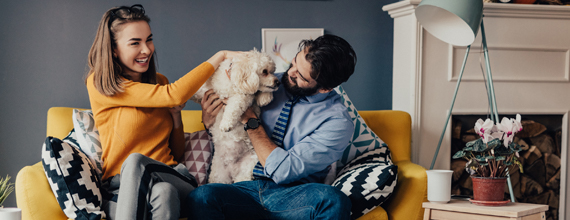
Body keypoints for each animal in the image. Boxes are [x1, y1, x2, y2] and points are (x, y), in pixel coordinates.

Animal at [190, 49, 278, 184]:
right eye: (265, 71)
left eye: (273, 71)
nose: (278, 81)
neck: (233, 80)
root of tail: (232, 171)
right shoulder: (208, 90)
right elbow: (198, 90)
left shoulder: (243, 97)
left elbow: (233, 107)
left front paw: (226, 124)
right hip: (219, 176)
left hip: (248, 166)